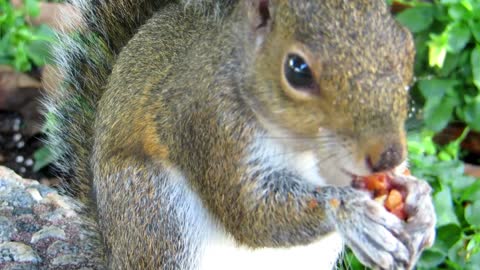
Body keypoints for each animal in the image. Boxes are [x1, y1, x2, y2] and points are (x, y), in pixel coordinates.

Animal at [45, 0, 436, 268]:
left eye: (406, 46)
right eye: (297, 70)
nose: (389, 155)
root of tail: (113, 253)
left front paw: (420, 200)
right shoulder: (207, 123)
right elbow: (250, 215)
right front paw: (352, 213)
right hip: (154, 212)